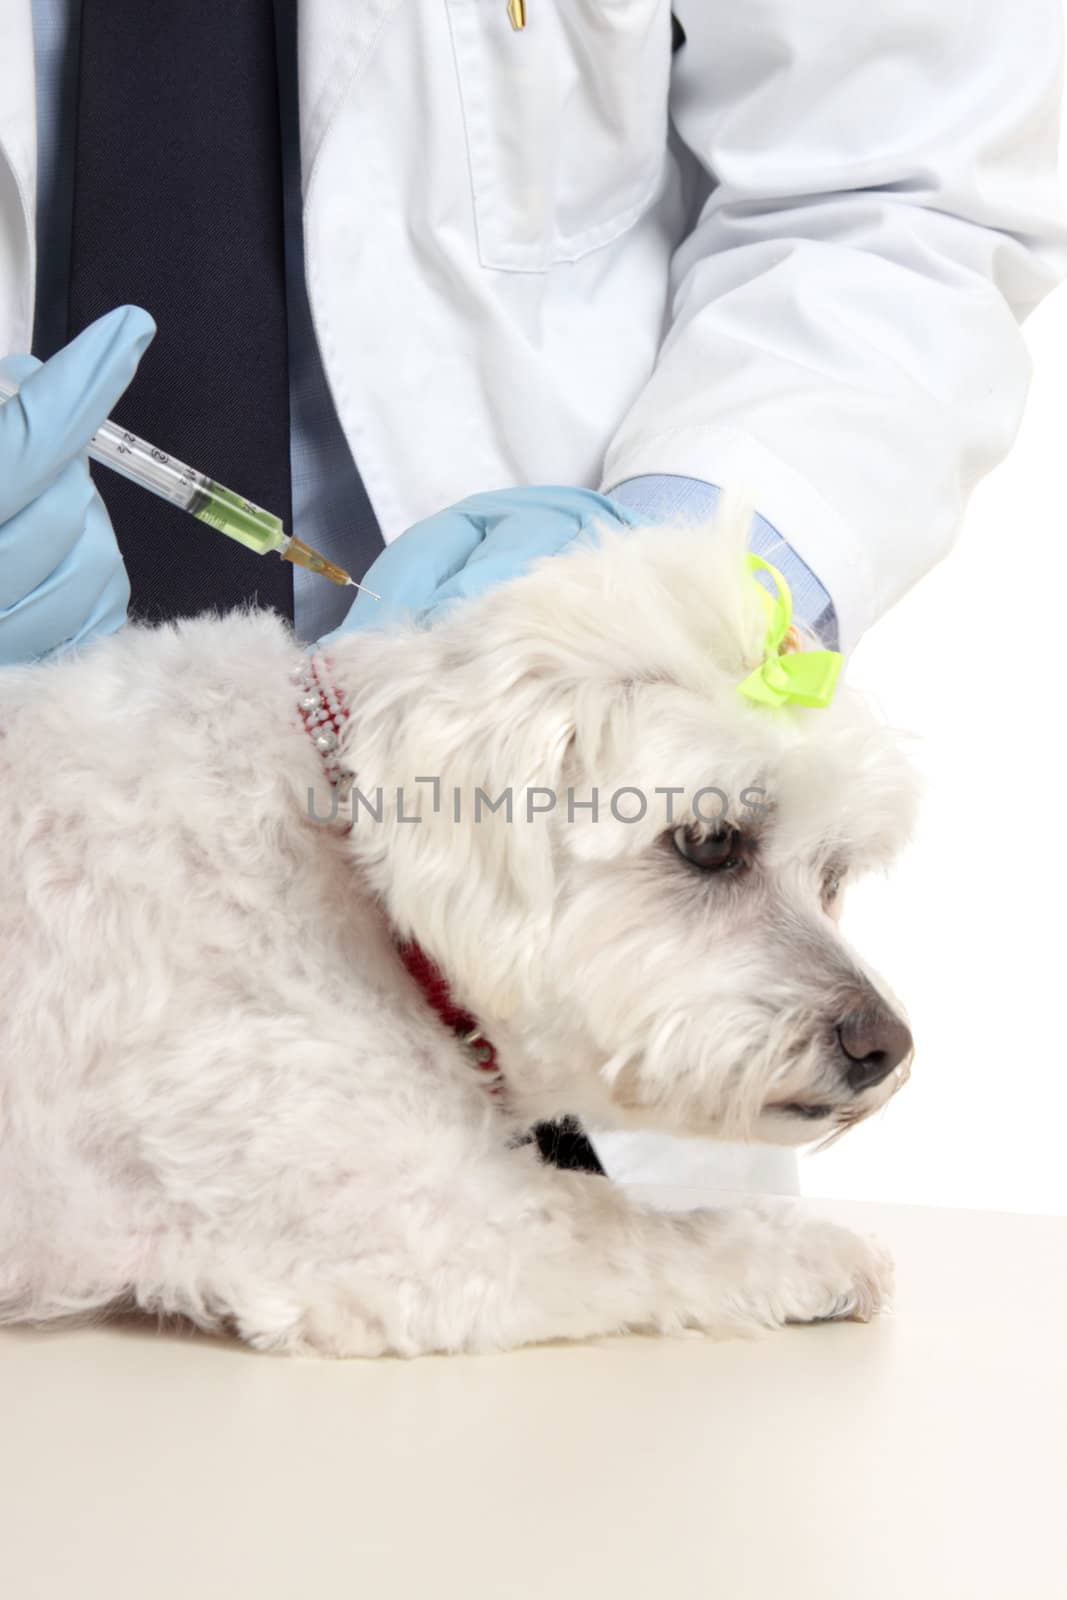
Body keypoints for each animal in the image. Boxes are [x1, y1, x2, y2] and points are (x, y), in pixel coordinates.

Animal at [0, 499, 921, 1350]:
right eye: (709, 842)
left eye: (831, 876)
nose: (884, 1045)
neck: (340, 862)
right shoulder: (424, 1228)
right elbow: (638, 1230)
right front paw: (813, 1252)